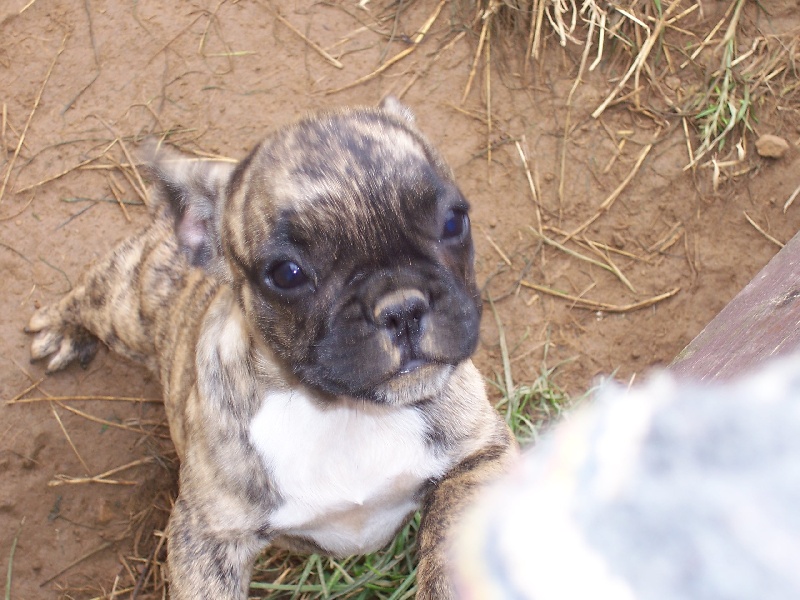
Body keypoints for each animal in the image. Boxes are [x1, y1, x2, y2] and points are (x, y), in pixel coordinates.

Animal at [26, 99, 520, 600]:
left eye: (454, 222)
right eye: (287, 274)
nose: (402, 307)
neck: (343, 413)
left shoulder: (480, 459)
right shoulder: (206, 538)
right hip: (125, 309)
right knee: (91, 294)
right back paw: (61, 329)